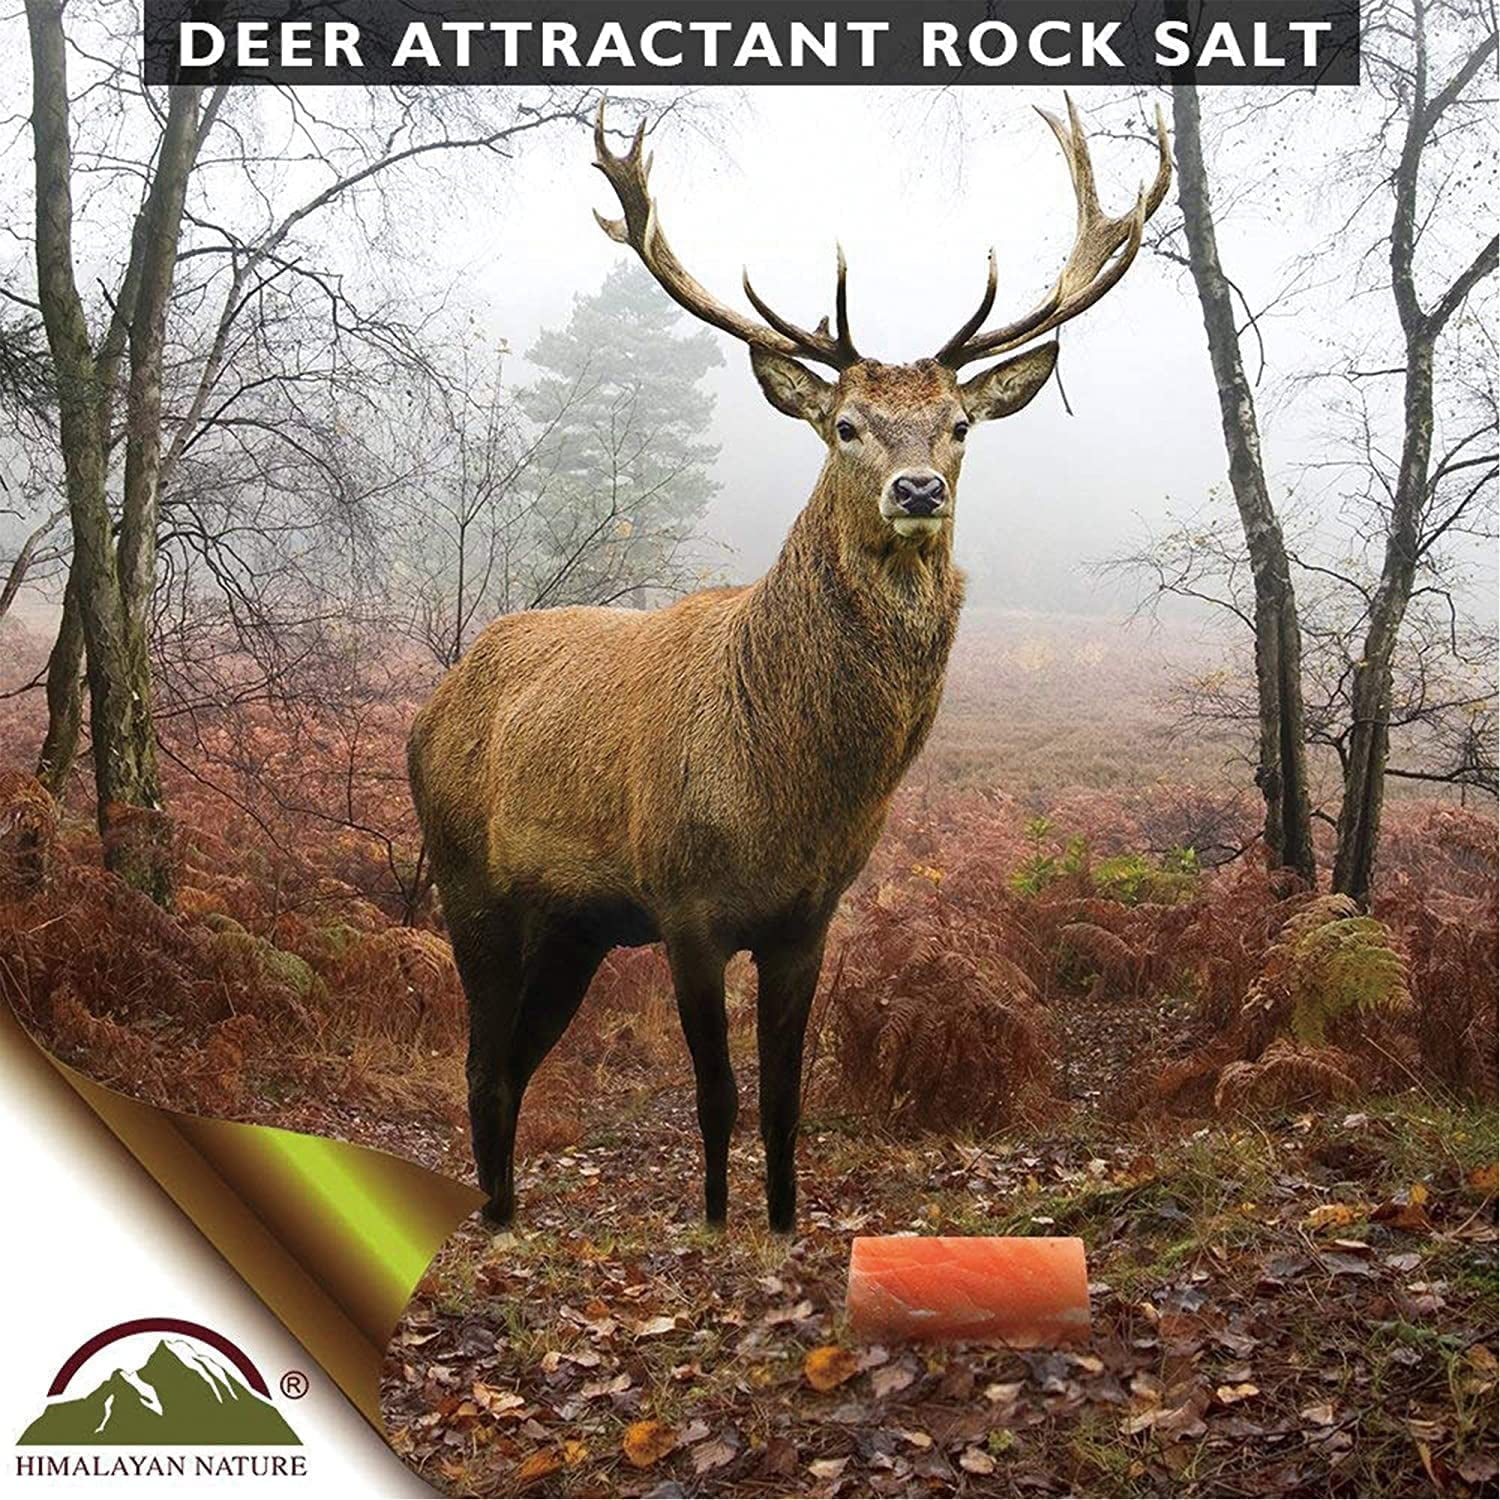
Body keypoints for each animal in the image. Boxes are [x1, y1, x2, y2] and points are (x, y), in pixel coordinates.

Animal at [408, 97, 1170, 1231]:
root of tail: (433, 704)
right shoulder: (683, 904)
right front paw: (718, 1225)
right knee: (480, 1062)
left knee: (511, 1062)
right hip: (469, 883)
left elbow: (783, 1099)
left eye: (959, 426)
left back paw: (503, 1212)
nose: (915, 490)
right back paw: (496, 1225)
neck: (786, 791)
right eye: (845, 424)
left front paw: (779, 1222)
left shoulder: (808, 917)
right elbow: (716, 1096)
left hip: (574, 928)